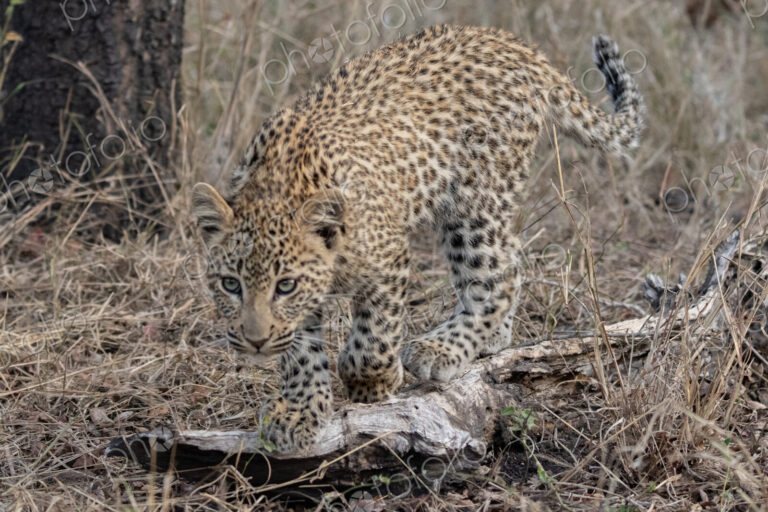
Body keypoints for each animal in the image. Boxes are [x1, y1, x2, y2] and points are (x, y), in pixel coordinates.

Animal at [191, 25, 644, 453]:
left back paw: (440, 348)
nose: (254, 342)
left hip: (473, 202)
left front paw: (372, 382)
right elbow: (301, 352)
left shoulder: (387, 259)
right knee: (511, 255)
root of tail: (514, 43)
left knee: (499, 277)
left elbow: (373, 337)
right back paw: (490, 339)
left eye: (284, 286)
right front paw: (300, 413)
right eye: (230, 284)